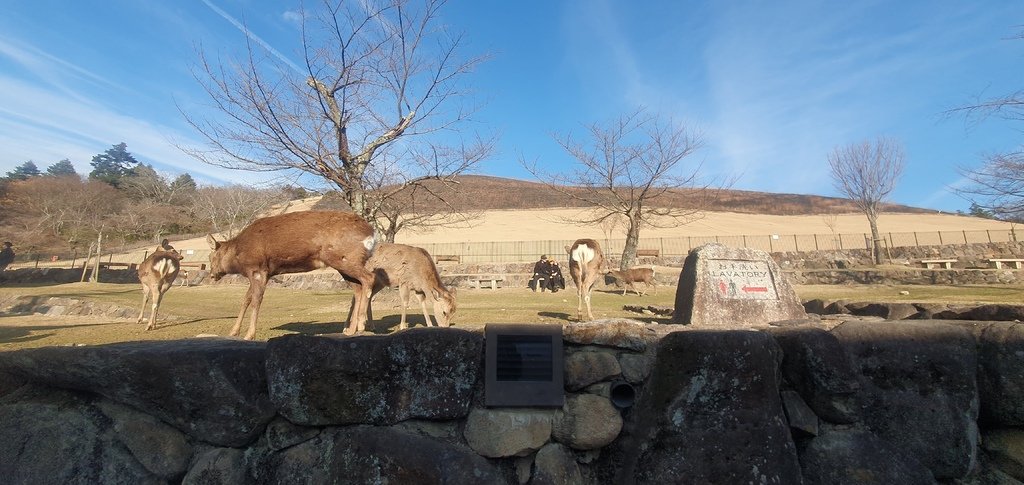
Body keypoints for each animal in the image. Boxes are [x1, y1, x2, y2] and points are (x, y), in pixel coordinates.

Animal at [205, 210, 378, 339]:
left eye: (211, 257)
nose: (212, 275)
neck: (238, 256)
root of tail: (372, 234)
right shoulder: (261, 273)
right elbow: (246, 300)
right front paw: (233, 331)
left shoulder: (258, 269)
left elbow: (256, 300)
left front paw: (249, 335)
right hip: (344, 263)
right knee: (358, 288)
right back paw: (350, 330)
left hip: (344, 258)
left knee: (369, 278)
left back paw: (361, 324)